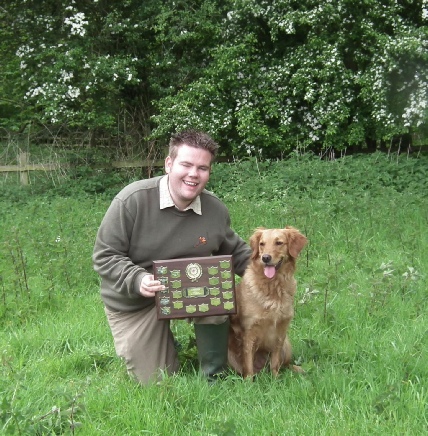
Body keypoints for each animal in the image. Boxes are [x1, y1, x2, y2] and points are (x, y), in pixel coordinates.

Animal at [227, 227, 308, 376]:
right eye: (262, 244)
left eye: (279, 243)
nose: (265, 258)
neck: (273, 286)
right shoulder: (249, 332)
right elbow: (248, 366)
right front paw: (248, 382)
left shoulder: (281, 331)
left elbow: (275, 364)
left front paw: (275, 380)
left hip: (286, 345)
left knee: (285, 365)